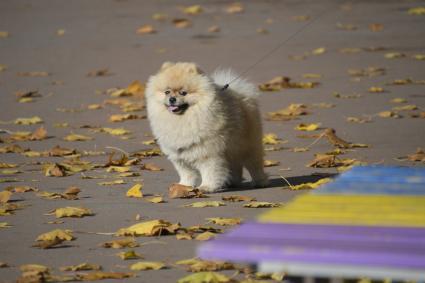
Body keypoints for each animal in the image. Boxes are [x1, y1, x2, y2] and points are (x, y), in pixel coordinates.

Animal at [144, 62, 266, 193]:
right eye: (167, 92)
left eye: (183, 93)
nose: (172, 99)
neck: (182, 120)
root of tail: (242, 95)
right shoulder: (179, 154)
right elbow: (186, 173)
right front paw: (184, 186)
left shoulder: (208, 152)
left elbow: (209, 171)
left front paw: (207, 187)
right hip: (232, 148)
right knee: (235, 165)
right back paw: (232, 182)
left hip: (249, 146)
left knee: (254, 164)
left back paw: (260, 182)